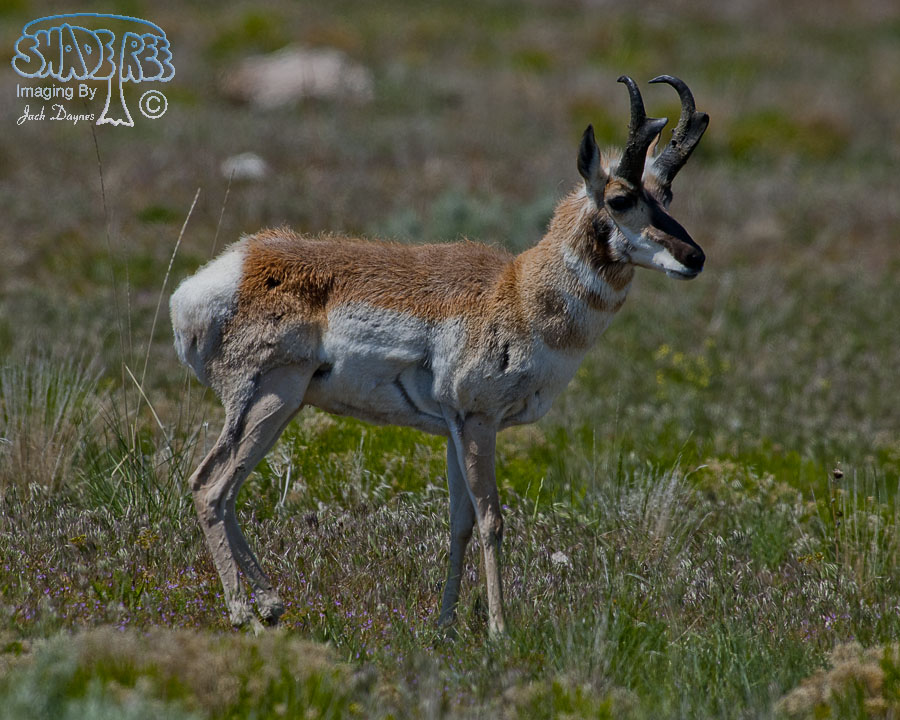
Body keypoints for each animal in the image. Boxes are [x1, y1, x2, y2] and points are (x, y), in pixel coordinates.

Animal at [170, 75, 709, 635]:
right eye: (621, 199)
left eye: (667, 194)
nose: (695, 257)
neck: (515, 291)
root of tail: (219, 276)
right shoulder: (478, 420)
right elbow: (492, 520)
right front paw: (498, 629)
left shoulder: (454, 429)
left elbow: (460, 523)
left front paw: (446, 624)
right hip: (270, 399)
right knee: (211, 486)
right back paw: (245, 614)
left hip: (281, 406)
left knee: (221, 491)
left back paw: (271, 603)